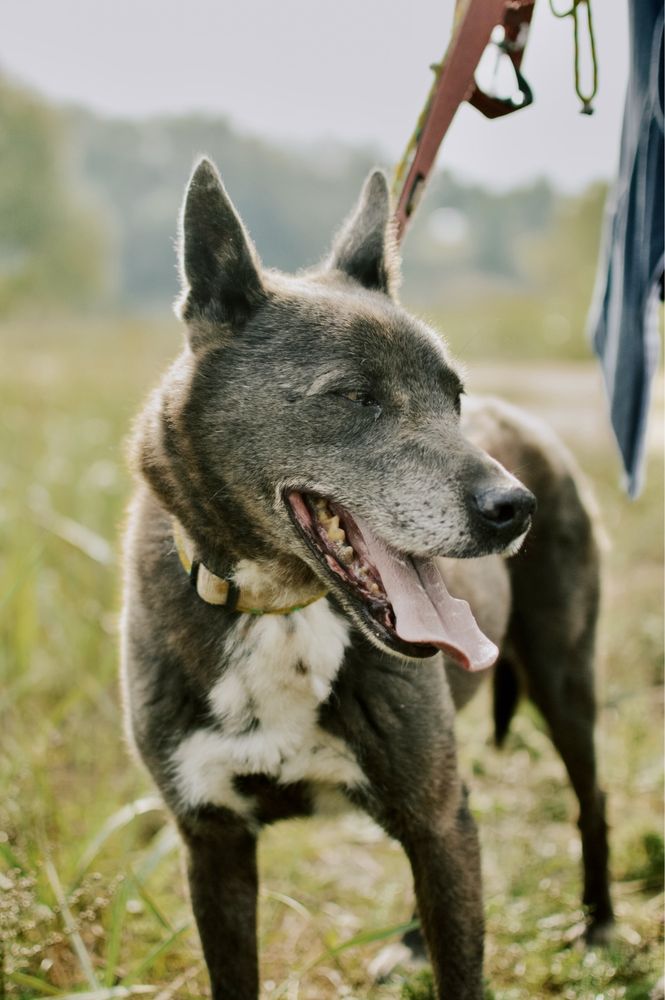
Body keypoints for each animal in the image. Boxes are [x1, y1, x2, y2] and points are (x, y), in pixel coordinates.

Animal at [120, 160, 612, 996]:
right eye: (354, 396)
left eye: (453, 396)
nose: (515, 509)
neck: (278, 606)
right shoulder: (213, 843)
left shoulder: (433, 819)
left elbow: (462, 971)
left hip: (560, 676)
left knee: (589, 793)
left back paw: (600, 923)